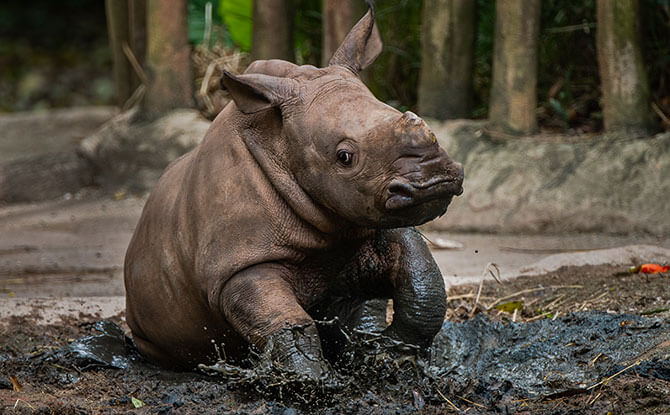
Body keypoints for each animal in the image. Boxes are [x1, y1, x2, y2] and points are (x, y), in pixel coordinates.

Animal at [124, 6, 462, 378]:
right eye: (345, 157)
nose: (435, 181)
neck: (281, 144)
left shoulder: (371, 218)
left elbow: (423, 281)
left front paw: (390, 356)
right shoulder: (238, 264)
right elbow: (282, 321)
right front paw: (310, 379)